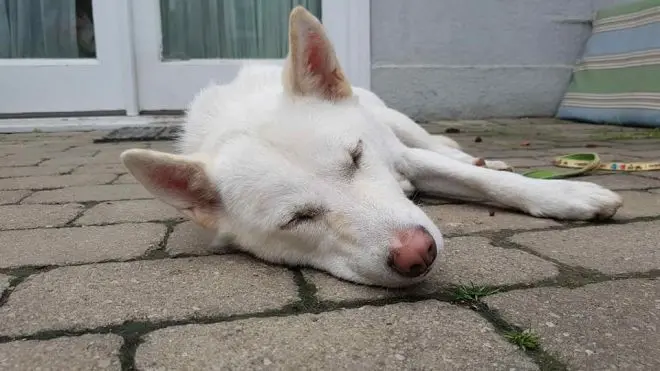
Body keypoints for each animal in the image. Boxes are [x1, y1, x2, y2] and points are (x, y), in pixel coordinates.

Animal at [120, 7, 624, 290]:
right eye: (297, 218)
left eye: (356, 157)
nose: (418, 254)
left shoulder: (397, 152)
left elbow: (484, 180)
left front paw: (564, 195)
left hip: (394, 120)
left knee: (442, 147)